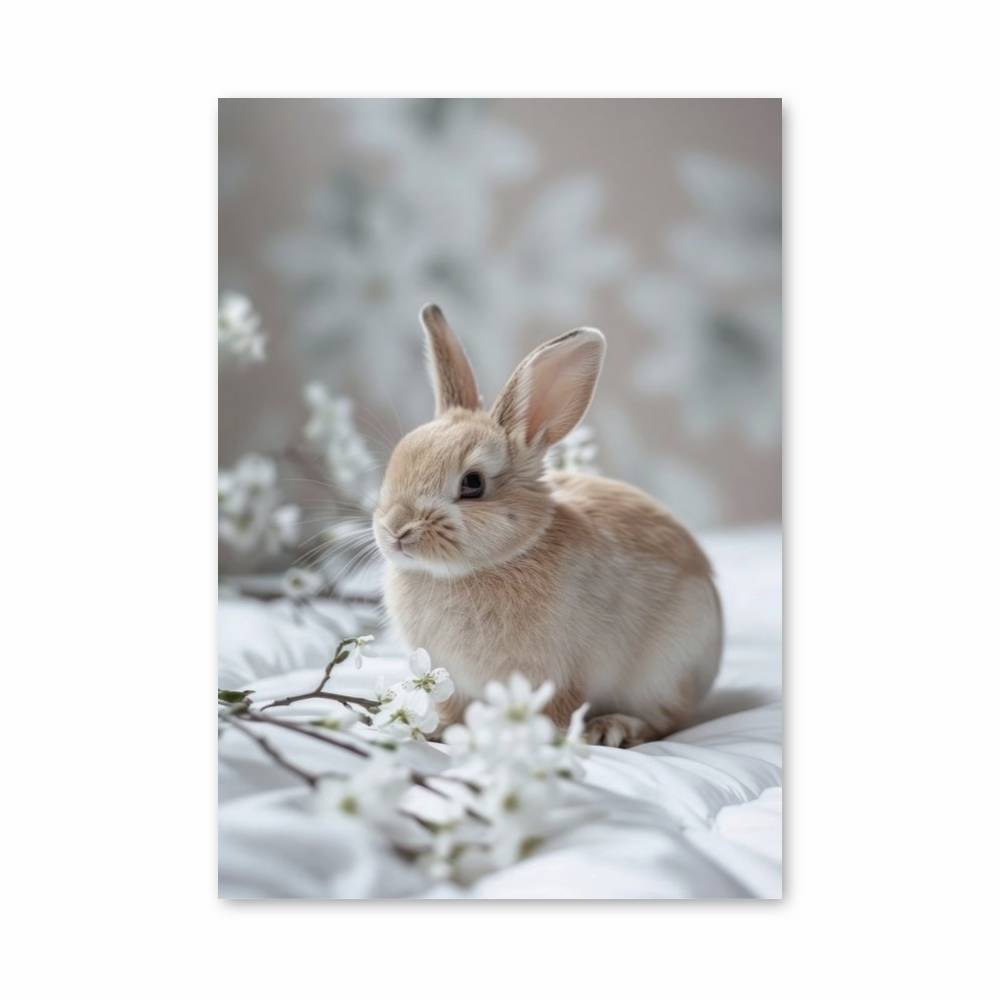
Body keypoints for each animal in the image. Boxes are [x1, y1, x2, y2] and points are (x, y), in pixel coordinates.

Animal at [372, 304, 723, 748]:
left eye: (473, 484)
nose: (396, 530)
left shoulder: (557, 675)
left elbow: (557, 709)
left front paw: (541, 738)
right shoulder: (453, 680)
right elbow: (452, 709)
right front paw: (437, 731)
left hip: (666, 671)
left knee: (665, 720)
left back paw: (611, 729)